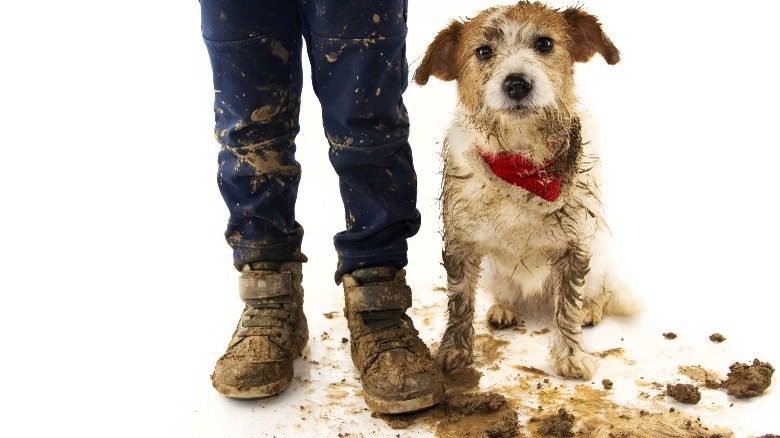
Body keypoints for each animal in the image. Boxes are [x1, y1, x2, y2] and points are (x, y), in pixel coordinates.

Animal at [414, 1, 640, 380]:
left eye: (544, 43)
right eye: (483, 51)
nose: (517, 83)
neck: (521, 158)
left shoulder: (574, 248)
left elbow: (567, 307)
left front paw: (572, 355)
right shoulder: (462, 244)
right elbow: (460, 301)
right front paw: (453, 351)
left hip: (599, 259)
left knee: (599, 293)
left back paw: (591, 309)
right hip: (495, 274)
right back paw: (504, 308)